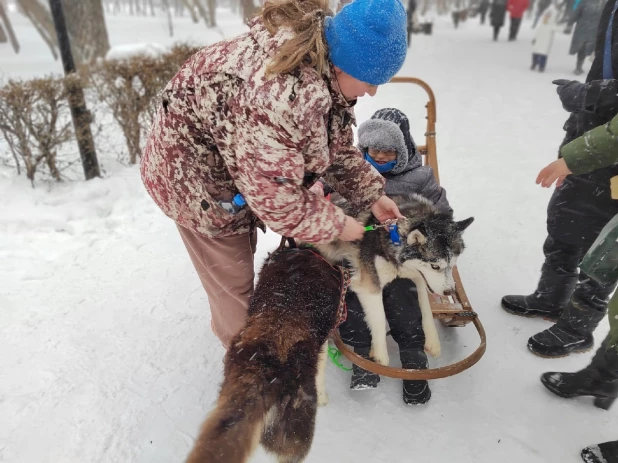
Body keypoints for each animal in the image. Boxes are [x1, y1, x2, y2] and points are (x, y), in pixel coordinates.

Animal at [318, 195, 472, 366]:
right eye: (435, 266)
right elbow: (379, 317)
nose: (449, 291)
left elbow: (426, 308)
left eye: (453, 264)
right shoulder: (369, 285)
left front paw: (433, 341)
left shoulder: (418, 277)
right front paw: (380, 355)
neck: (393, 237)